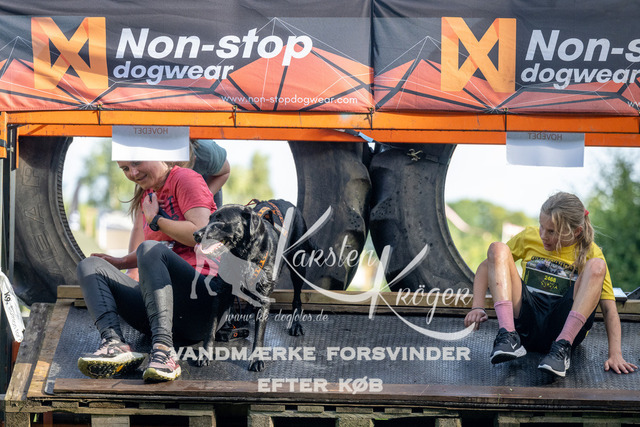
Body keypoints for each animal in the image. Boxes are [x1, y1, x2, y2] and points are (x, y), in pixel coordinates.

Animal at [192, 199, 308, 372]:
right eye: (209, 219)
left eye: (220, 221)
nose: (196, 234)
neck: (242, 255)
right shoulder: (221, 293)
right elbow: (211, 329)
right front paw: (205, 355)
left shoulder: (264, 298)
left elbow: (259, 335)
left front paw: (256, 360)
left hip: (298, 264)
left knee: (297, 298)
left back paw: (296, 324)